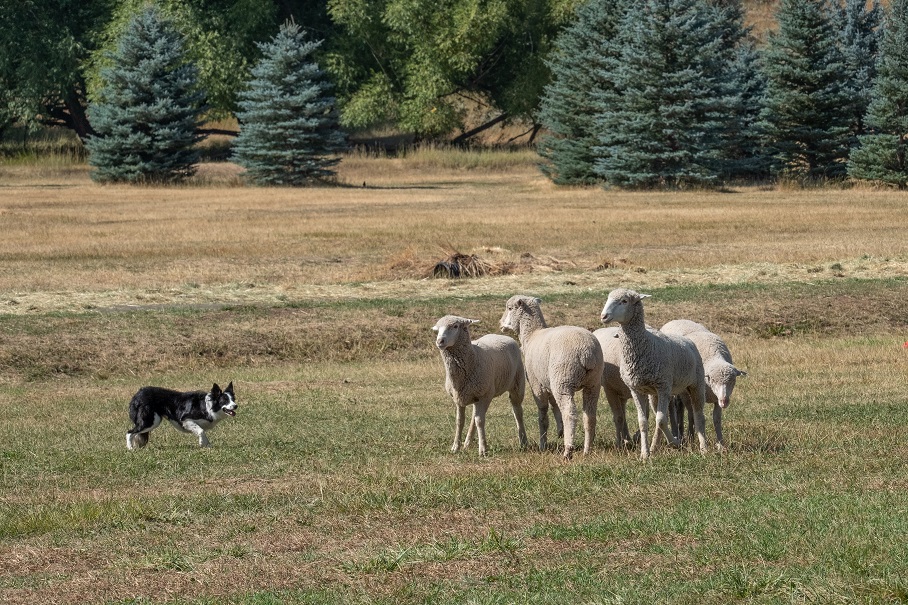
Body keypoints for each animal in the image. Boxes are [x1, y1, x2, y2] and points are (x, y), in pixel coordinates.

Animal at [430, 314, 524, 456]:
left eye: (455, 326)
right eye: (437, 329)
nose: (440, 341)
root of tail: (503, 336)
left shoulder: (484, 396)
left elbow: (480, 421)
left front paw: (483, 449)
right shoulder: (458, 397)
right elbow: (460, 421)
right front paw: (455, 447)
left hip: (516, 384)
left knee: (517, 411)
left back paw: (523, 441)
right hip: (476, 394)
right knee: (474, 416)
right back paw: (467, 443)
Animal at [496, 294, 604, 458]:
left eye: (509, 308)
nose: (501, 323)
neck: (531, 335)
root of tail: (587, 353)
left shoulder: (537, 385)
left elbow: (543, 416)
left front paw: (543, 444)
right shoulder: (549, 382)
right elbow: (554, 406)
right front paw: (559, 430)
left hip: (563, 380)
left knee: (570, 413)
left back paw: (568, 450)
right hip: (592, 382)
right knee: (590, 416)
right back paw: (587, 450)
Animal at [604, 288, 708, 458]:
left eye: (624, 301)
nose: (604, 316)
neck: (645, 344)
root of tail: (687, 340)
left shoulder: (664, 386)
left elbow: (661, 420)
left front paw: (674, 443)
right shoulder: (637, 389)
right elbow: (644, 421)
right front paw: (645, 454)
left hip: (696, 384)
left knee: (699, 415)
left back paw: (703, 447)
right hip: (654, 394)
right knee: (661, 416)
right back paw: (654, 447)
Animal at [660, 316, 744, 448]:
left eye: (733, 381)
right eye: (713, 380)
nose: (724, 401)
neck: (714, 356)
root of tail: (675, 320)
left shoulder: (716, 399)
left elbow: (716, 419)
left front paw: (721, 443)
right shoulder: (693, 394)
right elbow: (693, 415)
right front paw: (692, 437)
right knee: (678, 408)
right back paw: (681, 434)